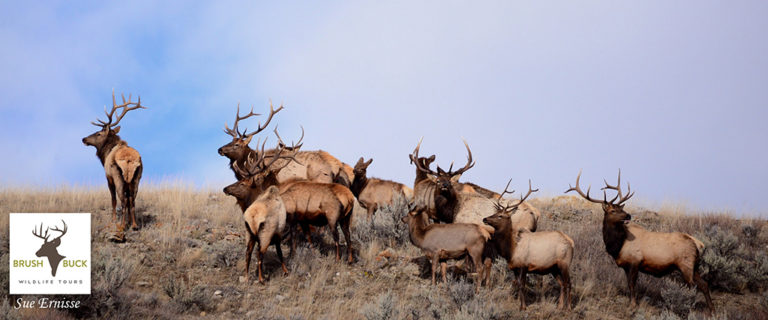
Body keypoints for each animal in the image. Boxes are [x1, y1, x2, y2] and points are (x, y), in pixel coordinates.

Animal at [82, 91, 146, 231]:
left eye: (99, 133)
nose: (84, 139)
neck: (105, 155)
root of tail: (128, 160)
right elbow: (129, 201)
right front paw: (129, 222)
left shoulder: (108, 177)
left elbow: (113, 200)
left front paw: (113, 220)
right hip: (136, 178)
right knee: (132, 200)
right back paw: (134, 225)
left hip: (118, 177)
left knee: (123, 200)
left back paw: (122, 225)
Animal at [484, 182, 572, 310]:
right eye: (495, 213)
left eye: (500, 216)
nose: (484, 218)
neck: (511, 250)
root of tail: (571, 242)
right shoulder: (514, 267)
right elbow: (516, 284)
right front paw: (518, 304)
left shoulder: (524, 265)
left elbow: (522, 285)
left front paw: (523, 307)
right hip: (554, 268)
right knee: (561, 284)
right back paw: (560, 306)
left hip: (565, 263)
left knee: (568, 283)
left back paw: (569, 307)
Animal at [564, 170, 712, 312]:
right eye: (613, 210)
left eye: (621, 208)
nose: (628, 215)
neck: (617, 245)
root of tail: (699, 244)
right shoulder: (625, 265)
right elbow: (629, 284)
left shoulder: (635, 261)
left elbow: (632, 284)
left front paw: (633, 305)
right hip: (694, 266)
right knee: (704, 284)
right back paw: (711, 310)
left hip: (685, 264)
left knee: (693, 287)